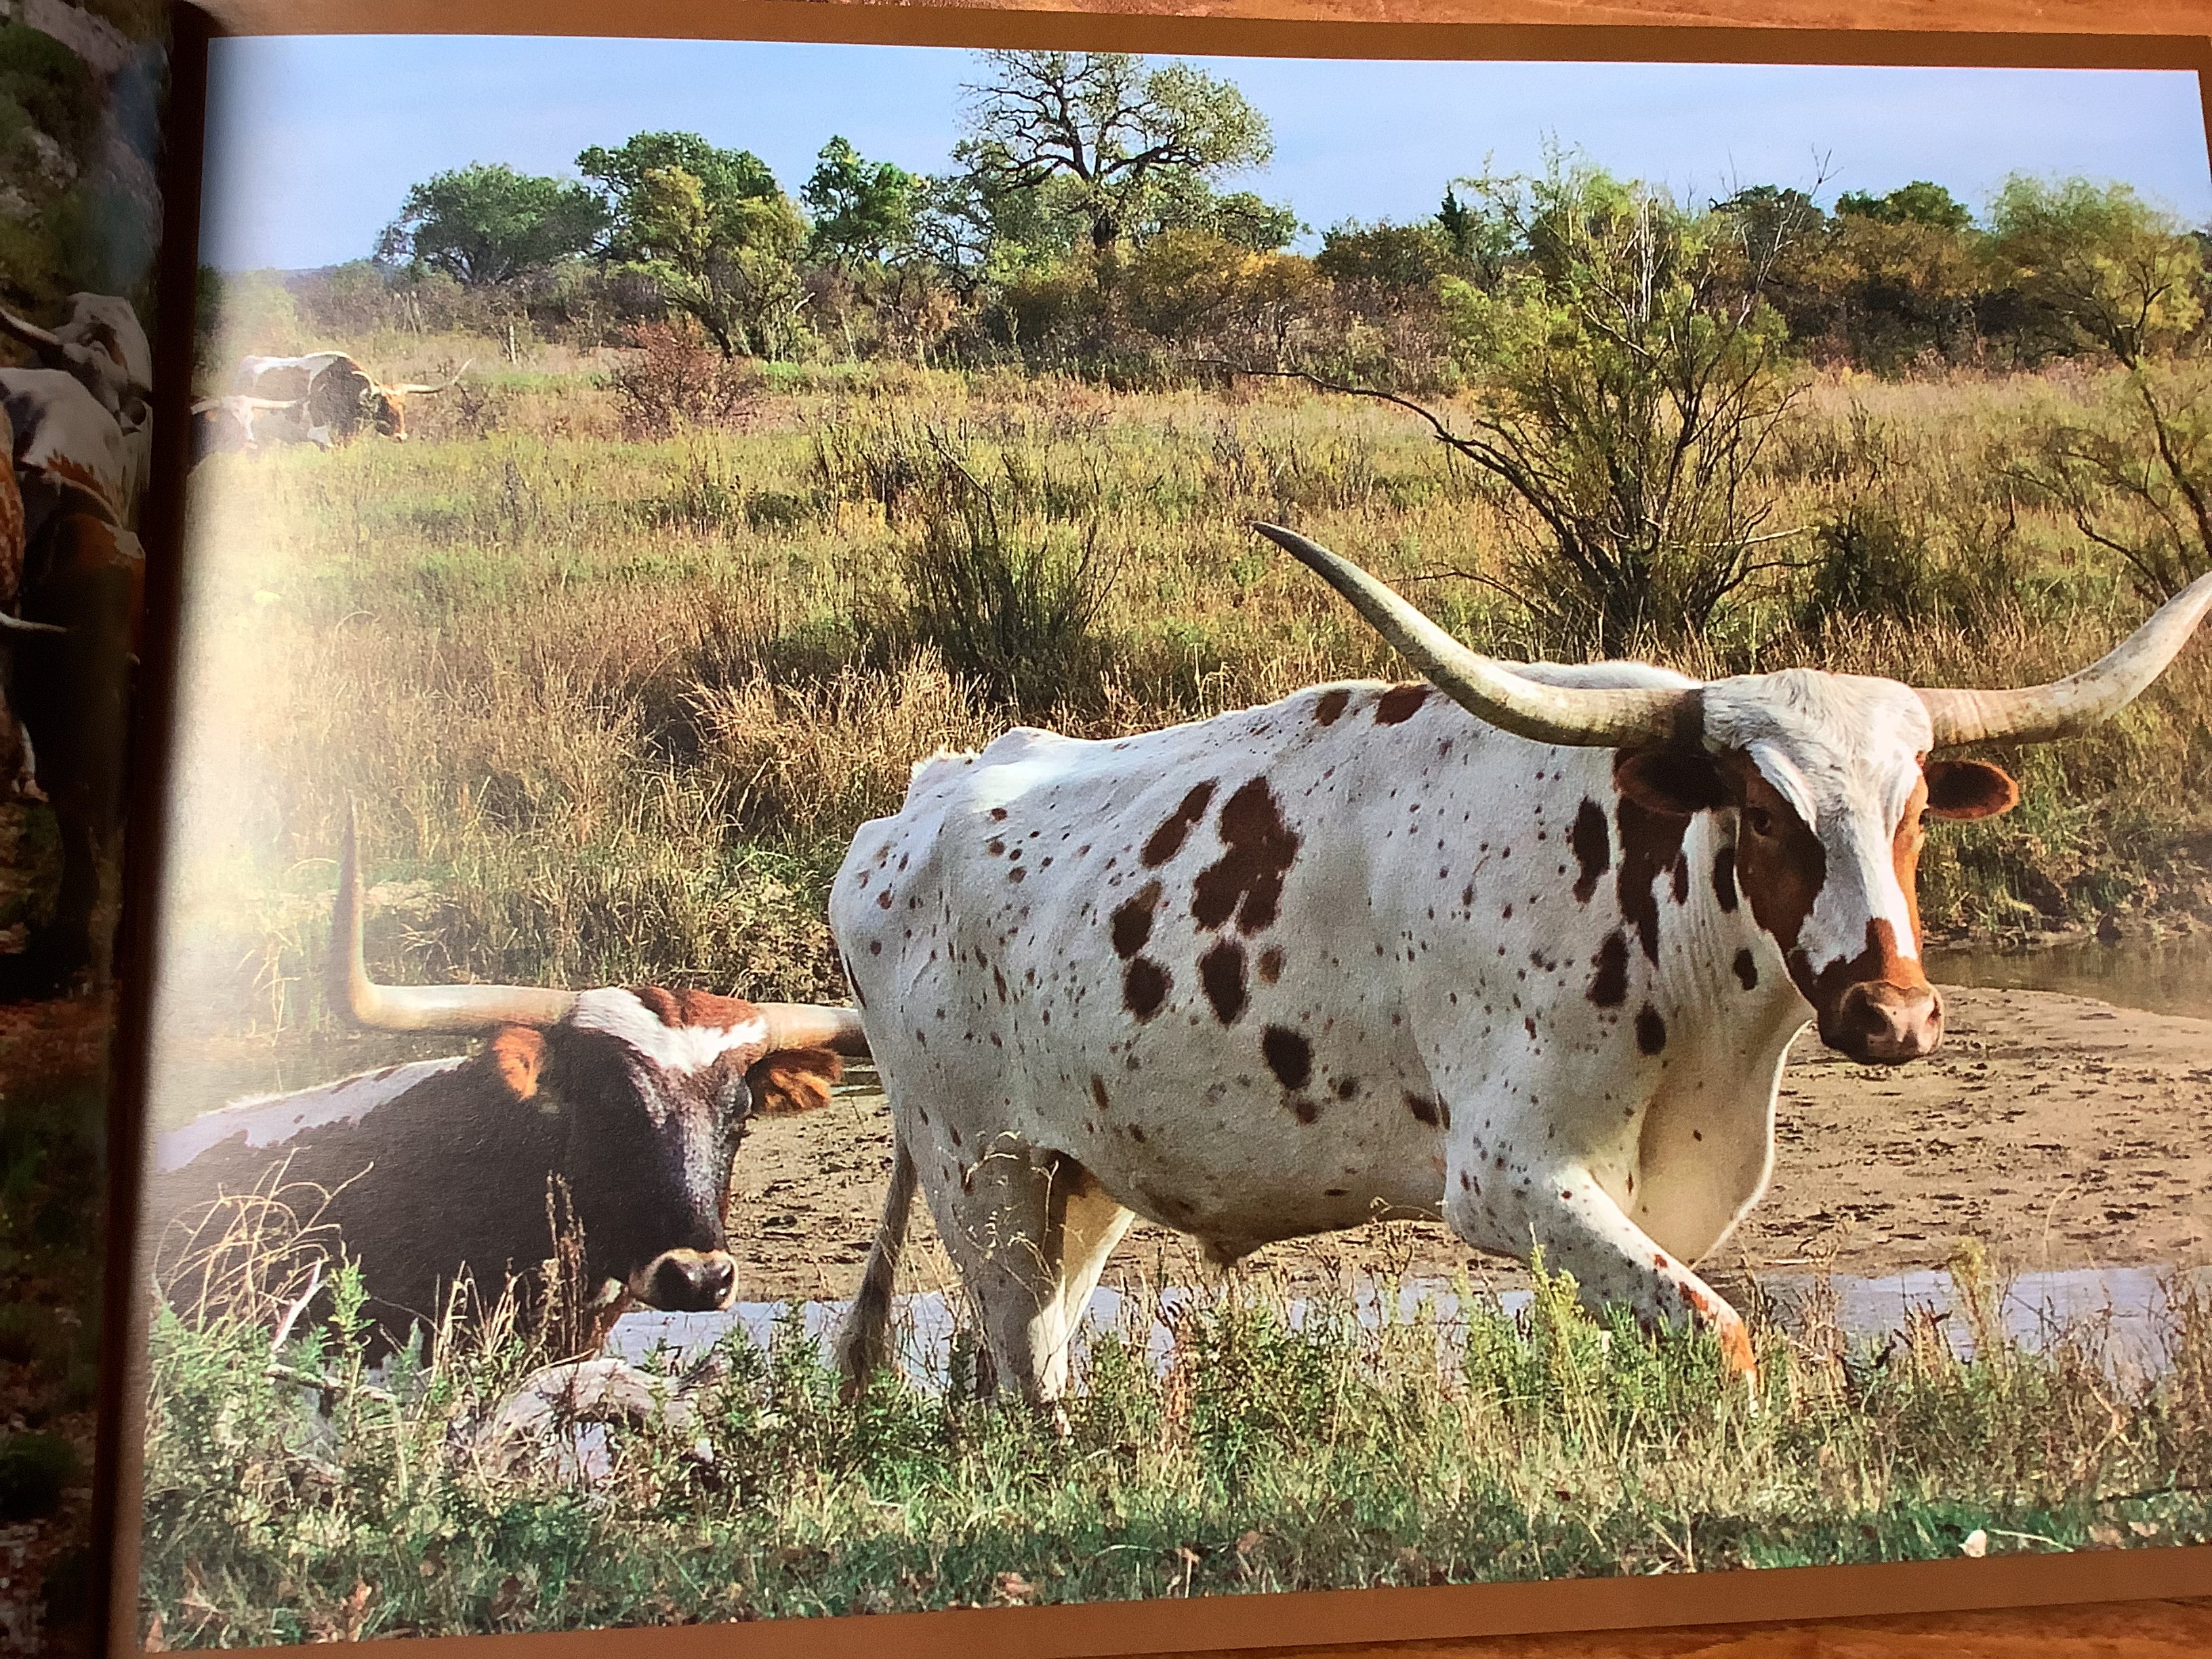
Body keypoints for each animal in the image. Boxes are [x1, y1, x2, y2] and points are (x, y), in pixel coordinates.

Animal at [832, 526, 2212, 1406]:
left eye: (1914, 808)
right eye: (1766, 813)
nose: (1894, 1013)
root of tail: (915, 801)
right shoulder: (1507, 1178)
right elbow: (1722, 1344)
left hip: (1082, 1183)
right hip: (983, 1183)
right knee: (1020, 1381)